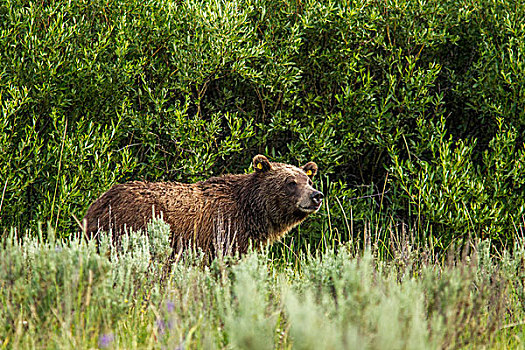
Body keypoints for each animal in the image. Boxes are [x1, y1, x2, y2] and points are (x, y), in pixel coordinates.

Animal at [83, 156, 322, 258]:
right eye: (291, 182)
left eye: (309, 180)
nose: (316, 196)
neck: (253, 212)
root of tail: (99, 202)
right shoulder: (227, 232)